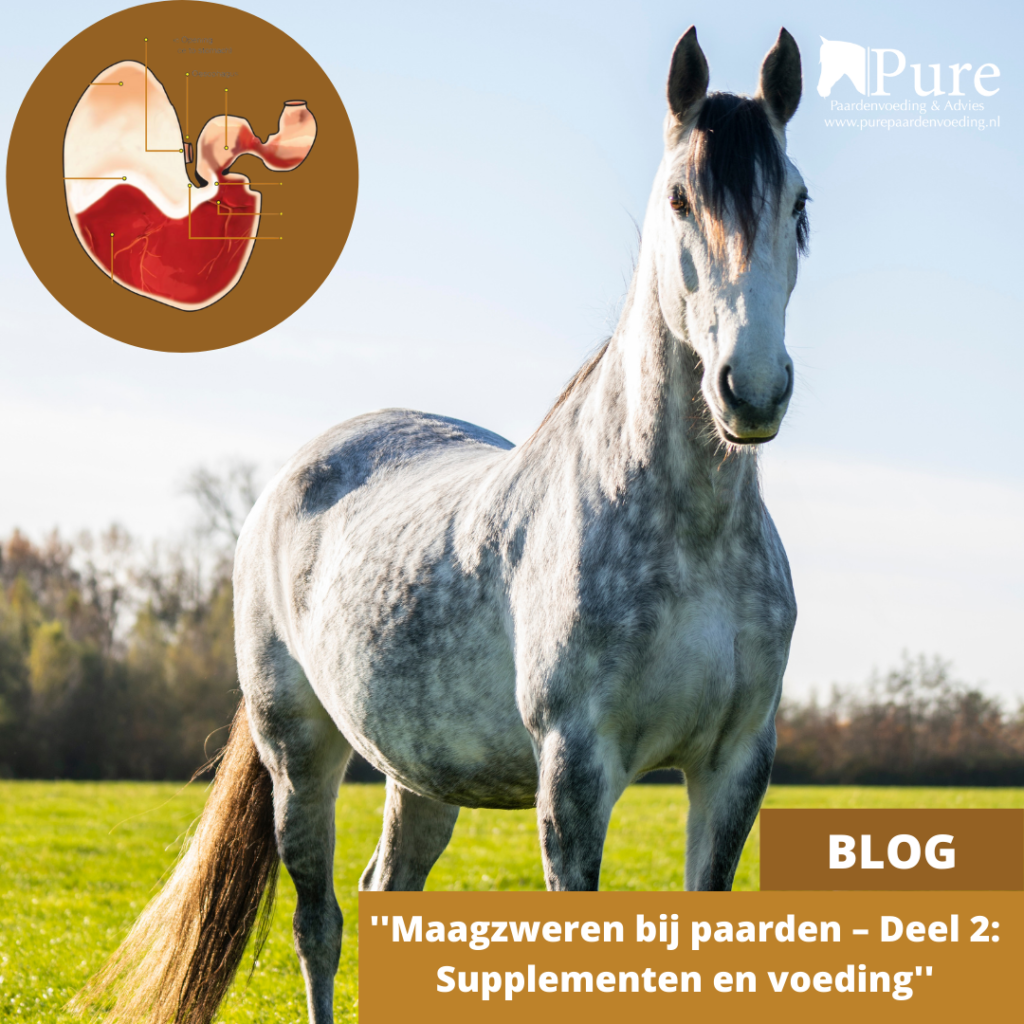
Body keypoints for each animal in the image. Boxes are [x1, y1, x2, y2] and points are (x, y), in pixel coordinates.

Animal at [74, 25, 808, 1024]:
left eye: (799, 204)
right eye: (680, 200)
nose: (752, 389)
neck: (686, 535)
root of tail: (289, 482)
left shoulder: (733, 767)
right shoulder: (574, 774)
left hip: (419, 771)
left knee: (388, 893)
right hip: (299, 754)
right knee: (320, 923)